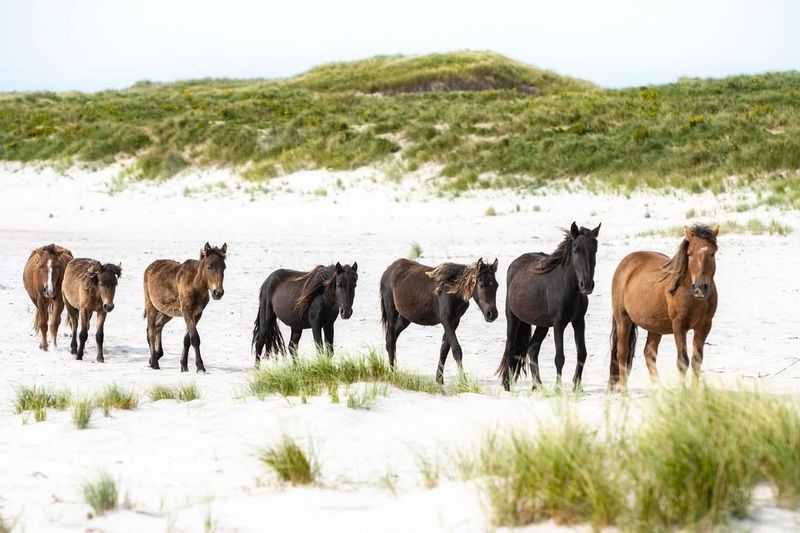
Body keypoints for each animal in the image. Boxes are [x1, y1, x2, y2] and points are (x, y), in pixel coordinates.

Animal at [141, 243, 225, 372]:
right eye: (209, 267)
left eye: (224, 268)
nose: (218, 293)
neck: (195, 284)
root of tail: (150, 267)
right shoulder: (187, 311)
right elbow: (194, 338)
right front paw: (200, 366)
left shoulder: (197, 314)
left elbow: (187, 339)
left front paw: (183, 365)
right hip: (151, 306)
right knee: (150, 330)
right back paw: (155, 362)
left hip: (167, 312)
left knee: (158, 326)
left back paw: (154, 357)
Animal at [496, 220, 604, 390]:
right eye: (575, 250)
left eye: (595, 249)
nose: (586, 285)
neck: (568, 287)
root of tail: (515, 263)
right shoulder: (558, 324)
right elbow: (559, 357)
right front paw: (558, 388)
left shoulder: (579, 321)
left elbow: (582, 353)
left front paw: (577, 386)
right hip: (513, 318)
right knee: (510, 348)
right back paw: (508, 385)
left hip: (542, 324)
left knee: (532, 349)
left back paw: (538, 386)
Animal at [608, 224, 720, 390]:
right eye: (690, 254)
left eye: (712, 253)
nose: (700, 288)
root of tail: (626, 262)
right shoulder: (679, 325)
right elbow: (682, 361)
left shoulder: (704, 326)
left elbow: (696, 361)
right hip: (623, 320)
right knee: (622, 354)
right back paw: (624, 392)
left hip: (655, 327)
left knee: (649, 353)